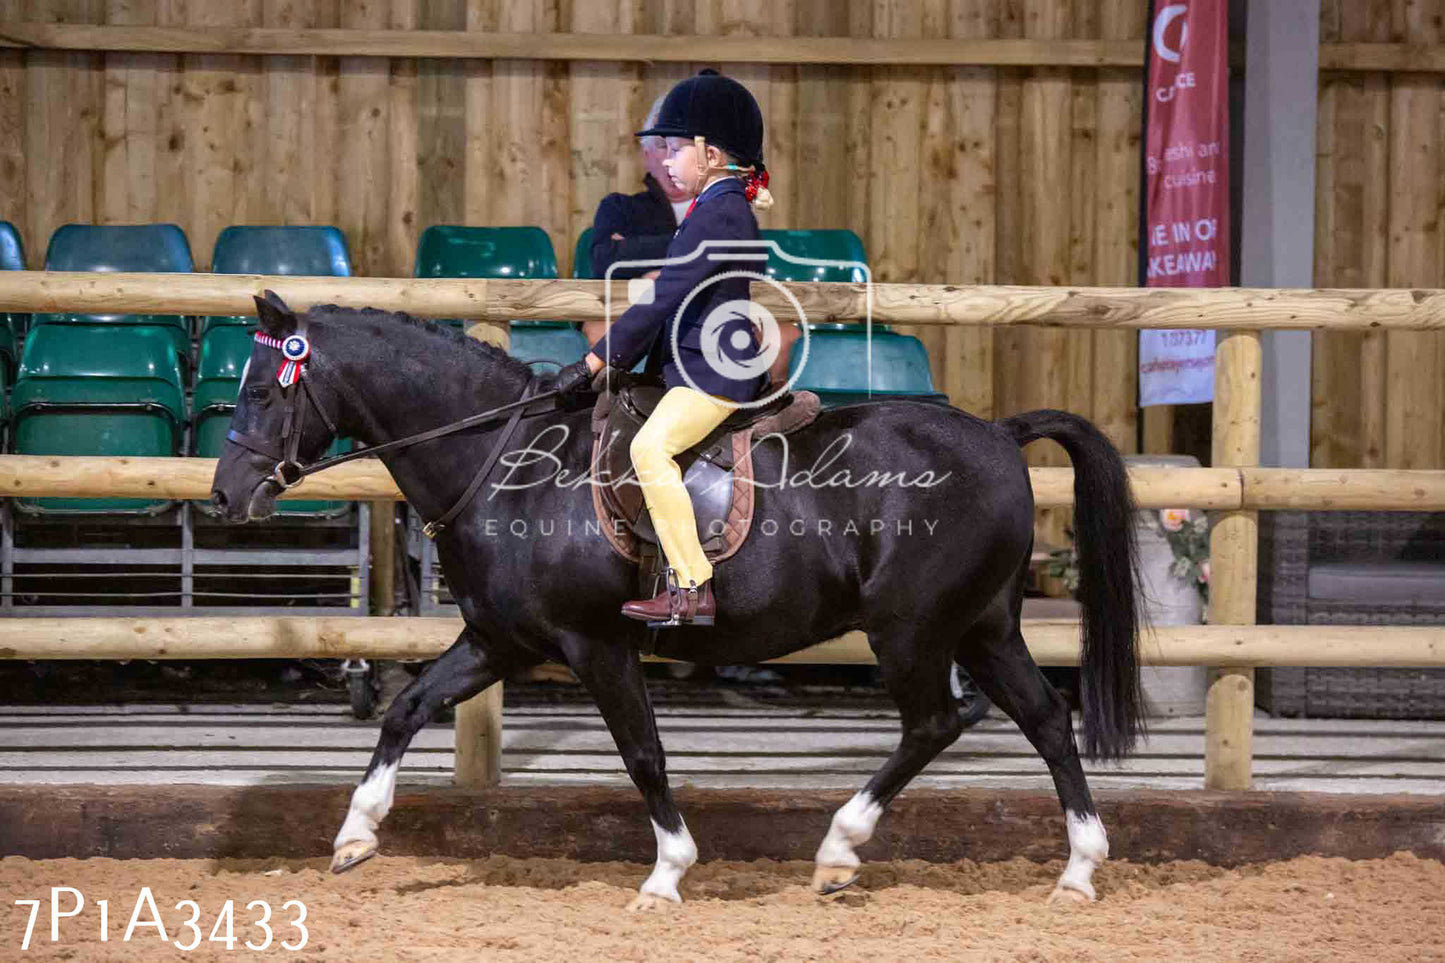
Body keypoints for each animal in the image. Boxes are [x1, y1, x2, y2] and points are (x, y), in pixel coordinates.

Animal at [210, 297, 1138, 908]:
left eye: (264, 390)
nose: (225, 495)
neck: (507, 458)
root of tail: (998, 434)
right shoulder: (499, 640)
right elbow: (406, 708)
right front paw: (355, 835)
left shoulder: (595, 645)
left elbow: (642, 754)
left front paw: (665, 873)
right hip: (981, 625)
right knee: (1042, 719)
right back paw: (1076, 869)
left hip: (910, 629)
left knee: (937, 722)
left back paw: (840, 848)